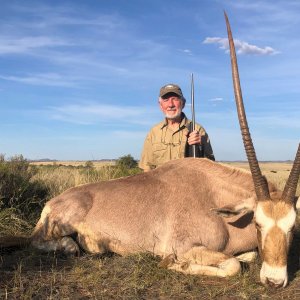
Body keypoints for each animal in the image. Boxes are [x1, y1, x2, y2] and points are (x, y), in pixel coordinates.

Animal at [5, 12, 300, 288]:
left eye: (292, 226)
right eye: (258, 223)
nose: (274, 281)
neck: (215, 198)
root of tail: (52, 202)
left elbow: (246, 257)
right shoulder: (185, 246)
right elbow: (232, 266)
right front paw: (175, 265)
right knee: (40, 241)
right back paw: (77, 246)